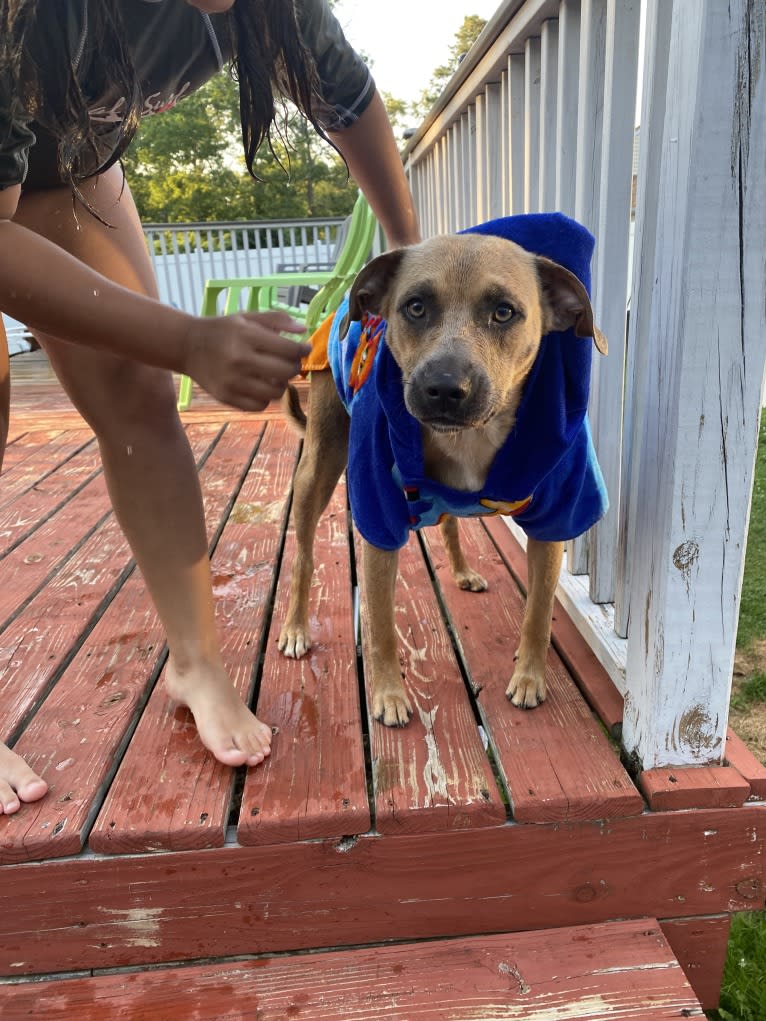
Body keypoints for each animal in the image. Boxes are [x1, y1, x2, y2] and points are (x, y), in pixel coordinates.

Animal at [279, 217, 608, 726]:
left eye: (504, 312)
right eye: (415, 307)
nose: (444, 388)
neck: (470, 438)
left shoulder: (556, 521)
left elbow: (538, 611)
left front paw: (530, 676)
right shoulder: (378, 525)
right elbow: (382, 624)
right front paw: (389, 692)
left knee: (451, 520)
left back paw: (462, 571)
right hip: (318, 465)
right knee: (303, 556)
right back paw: (296, 627)